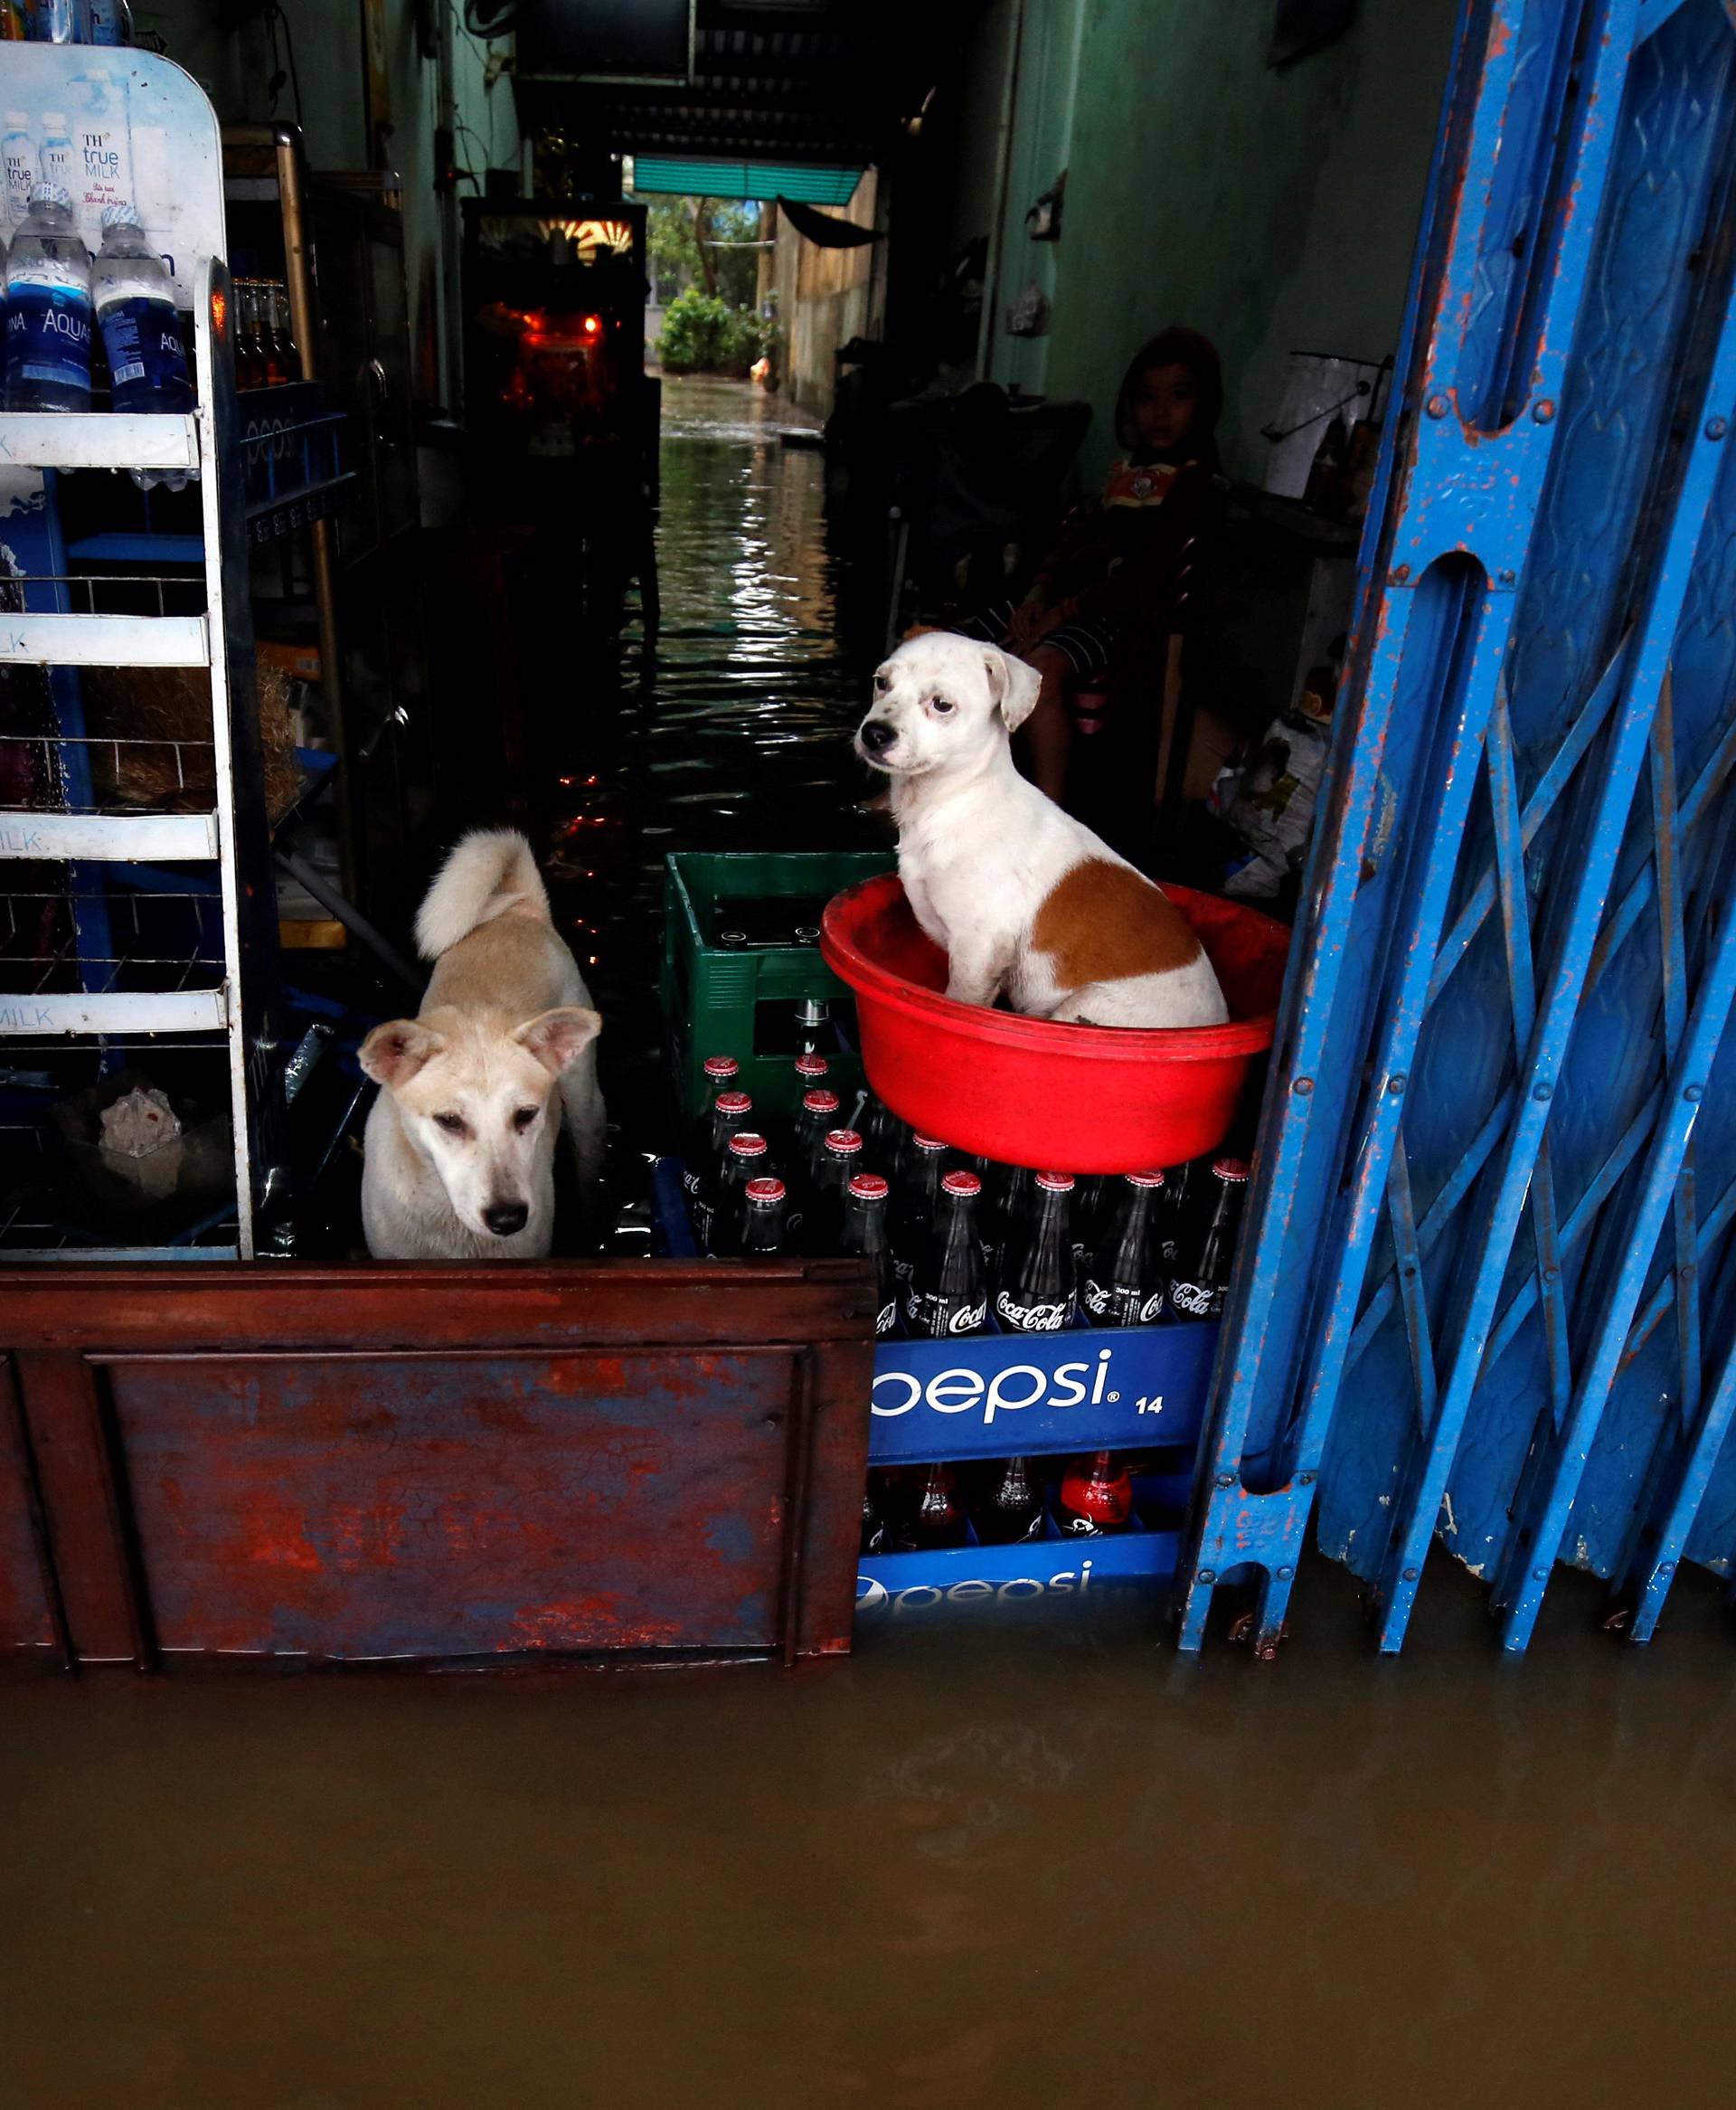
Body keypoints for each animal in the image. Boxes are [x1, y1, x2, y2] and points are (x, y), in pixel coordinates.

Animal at [856, 632, 1223, 1029]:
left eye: (942, 705)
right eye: (881, 682)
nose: (874, 733)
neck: (955, 801)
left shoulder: (978, 949)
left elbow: (959, 1001)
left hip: (1084, 1005)